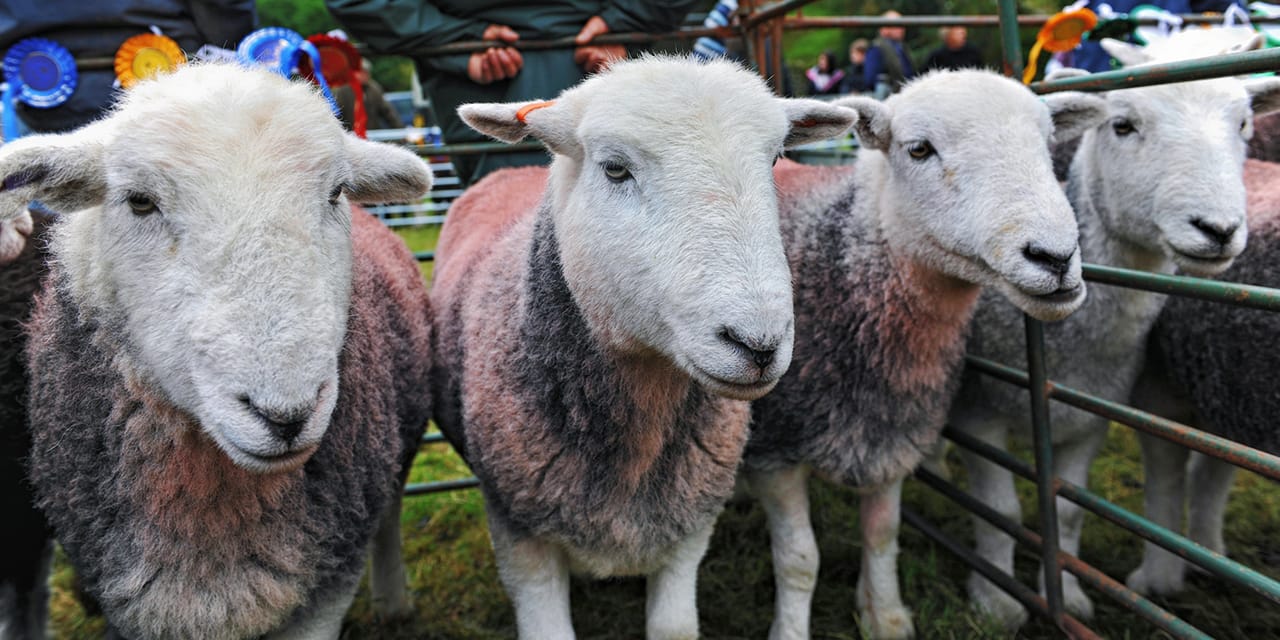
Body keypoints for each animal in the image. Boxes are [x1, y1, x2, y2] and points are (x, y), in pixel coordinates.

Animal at [432, 57, 860, 637]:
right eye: (614, 169)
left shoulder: (689, 521)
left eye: (774, 160)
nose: (758, 344)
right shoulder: (518, 529)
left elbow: (673, 627)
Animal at [747, 71, 1105, 640]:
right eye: (918, 149)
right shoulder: (772, 448)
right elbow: (799, 559)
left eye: (1049, 142)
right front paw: (792, 629)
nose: (1055, 258)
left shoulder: (895, 431)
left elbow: (882, 532)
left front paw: (885, 614)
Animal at [1126, 157, 1280, 596]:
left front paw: (1158, 578)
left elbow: (1168, 478)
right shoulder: (1213, 388)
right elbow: (1201, 473)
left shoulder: (1162, 391)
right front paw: (1197, 557)